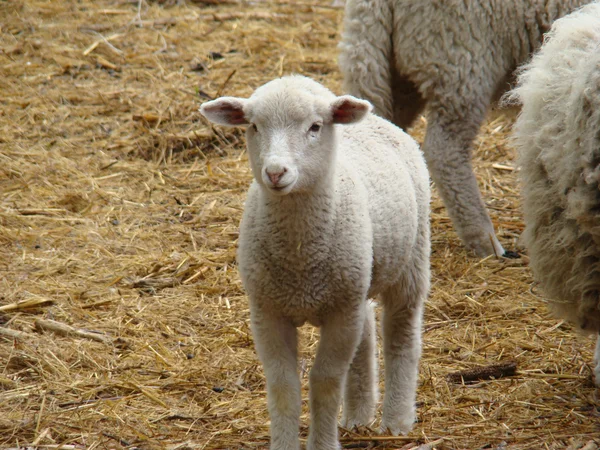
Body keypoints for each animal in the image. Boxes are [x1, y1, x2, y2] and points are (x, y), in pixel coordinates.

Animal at [202, 75, 432, 448]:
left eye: (314, 127)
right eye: (254, 126)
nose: (275, 172)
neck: (300, 258)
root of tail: (375, 118)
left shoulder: (339, 314)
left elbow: (325, 381)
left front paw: (322, 443)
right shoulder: (268, 312)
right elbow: (283, 386)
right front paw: (283, 444)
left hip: (410, 261)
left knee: (402, 334)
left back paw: (396, 419)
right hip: (356, 281)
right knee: (366, 333)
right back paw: (358, 415)